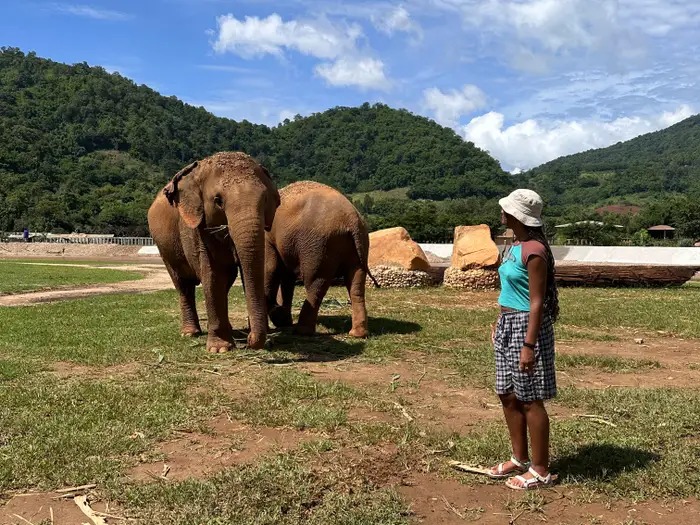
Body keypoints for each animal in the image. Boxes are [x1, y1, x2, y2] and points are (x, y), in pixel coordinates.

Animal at [148, 149, 278, 350]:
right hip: (164, 248)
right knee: (183, 285)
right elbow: (212, 275)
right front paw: (220, 349)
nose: (248, 340)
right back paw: (190, 333)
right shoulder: (196, 226)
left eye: (264, 199)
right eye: (218, 201)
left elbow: (243, 273)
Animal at [266, 180, 380, 336]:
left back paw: (303, 331)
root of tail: (352, 220)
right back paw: (357, 334)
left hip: (318, 246)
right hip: (359, 245)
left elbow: (271, 269)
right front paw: (282, 319)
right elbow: (286, 277)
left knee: (315, 283)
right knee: (356, 284)